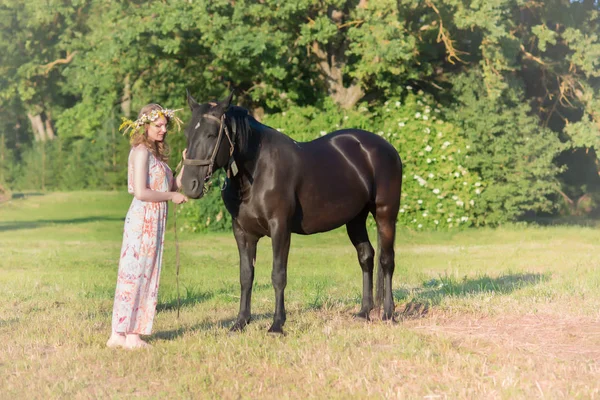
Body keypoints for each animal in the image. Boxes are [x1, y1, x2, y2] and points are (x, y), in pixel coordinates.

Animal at [179, 92, 404, 332]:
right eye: (188, 134)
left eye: (212, 134)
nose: (189, 184)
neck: (258, 171)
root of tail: (386, 147)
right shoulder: (242, 232)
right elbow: (246, 276)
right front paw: (240, 322)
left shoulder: (280, 228)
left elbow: (278, 275)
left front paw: (277, 324)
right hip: (355, 219)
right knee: (366, 256)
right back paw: (364, 312)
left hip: (385, 215)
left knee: (387, 260)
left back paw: (388, 313)